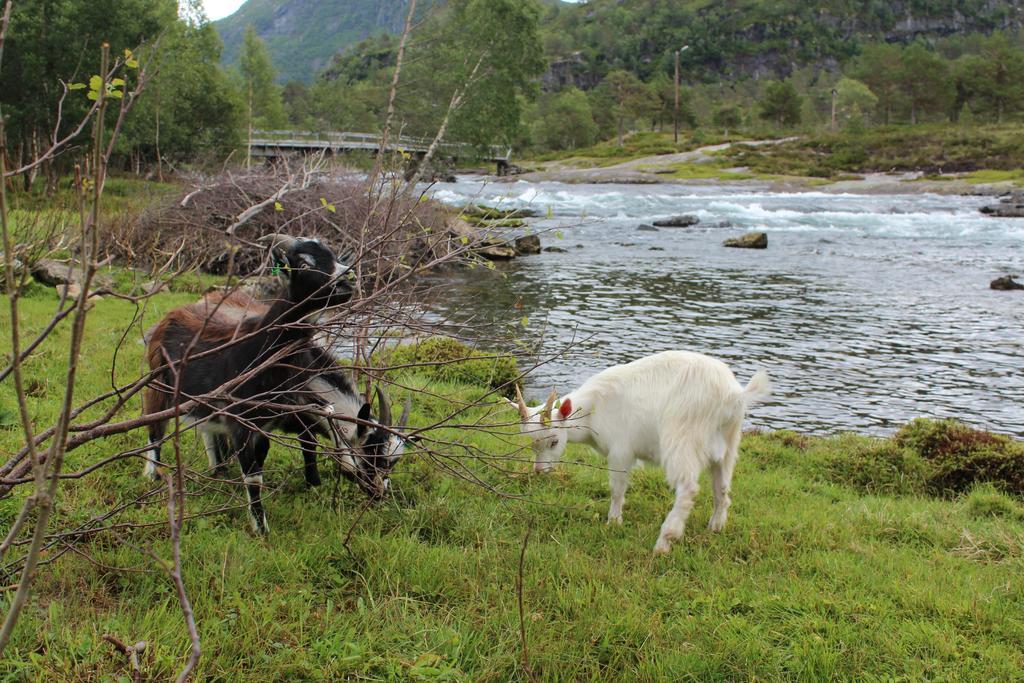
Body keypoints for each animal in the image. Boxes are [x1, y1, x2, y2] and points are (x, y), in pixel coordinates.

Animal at [507, 350, 770, 552]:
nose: (539, 471)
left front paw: (614, 521)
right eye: (532, 444)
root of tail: (732, 395)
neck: (593, 409)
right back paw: (715, 527)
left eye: (554, 442)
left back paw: (664, 542)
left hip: (681, 438)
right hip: (728, 443)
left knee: (688, 487)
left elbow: (617, 489)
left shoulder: (620, 450)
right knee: (722, 486)